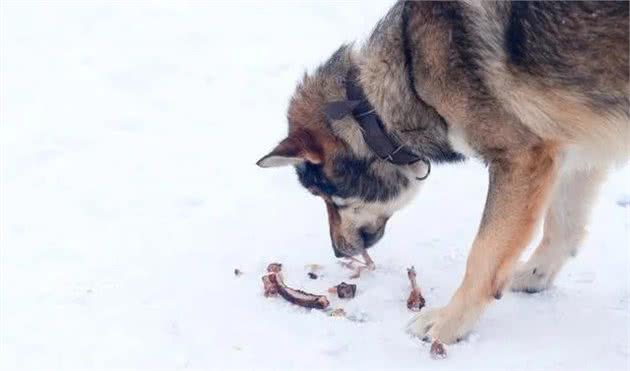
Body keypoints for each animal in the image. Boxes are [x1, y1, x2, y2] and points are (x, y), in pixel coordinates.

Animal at [256, 0, 628, 346]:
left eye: (327, 197)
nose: (337, 251)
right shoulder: (576, 146)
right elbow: (563, 227)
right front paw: (536, 275)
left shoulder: (521, 160)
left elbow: (483, 255)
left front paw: (449, 323)